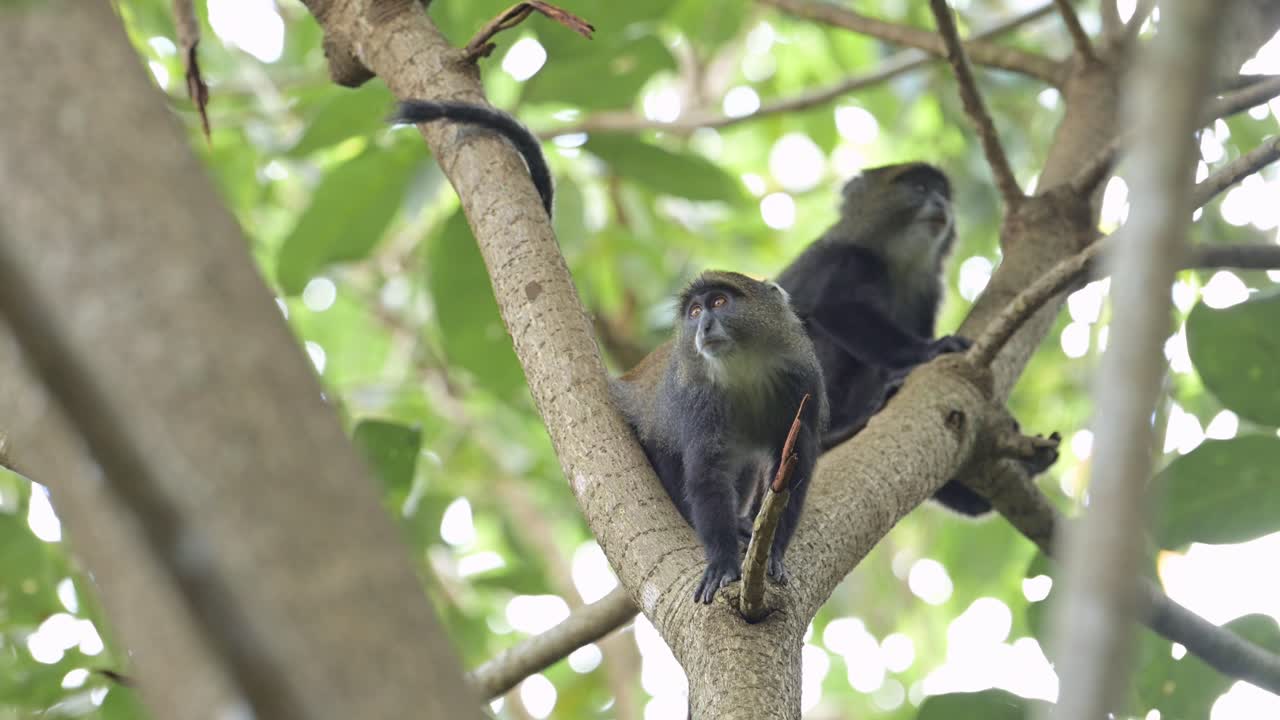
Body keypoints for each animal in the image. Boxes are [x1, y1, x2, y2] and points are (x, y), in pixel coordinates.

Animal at [611, 271, 829, 603]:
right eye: (695, 312)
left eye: (719, 302)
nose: (703, 326)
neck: (745, 371)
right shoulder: (700, 399)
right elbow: (707, 473)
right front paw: (723, 563)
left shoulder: (803, 383)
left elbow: (794, 467)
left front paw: (774, 552)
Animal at [774, 163, 993, 515]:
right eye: (919, 188)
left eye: (942, 194)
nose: (940, 204)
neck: (897, 262)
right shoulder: (845, 260)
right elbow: (837, 308)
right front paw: (931, 349)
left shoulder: (927, 293)